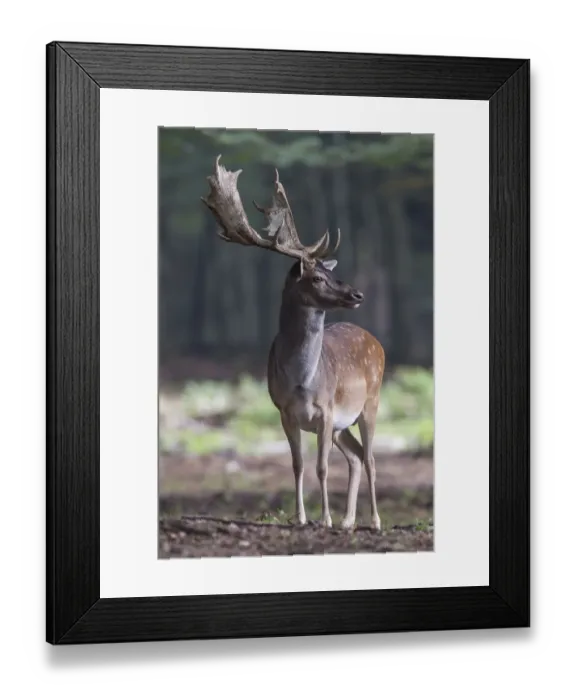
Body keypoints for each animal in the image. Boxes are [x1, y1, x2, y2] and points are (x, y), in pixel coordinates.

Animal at [201, 155, 385, 531]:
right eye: (316, 277)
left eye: (331, 273)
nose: (357, 294)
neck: (302, 381)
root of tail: (378, 343)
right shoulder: (285, 412)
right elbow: (298, 465)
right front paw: (302, 518)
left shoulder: (326, 410)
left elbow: (322, 467)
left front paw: (324, 519)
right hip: (345, 423)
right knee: (358, 457)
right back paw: (349, 521)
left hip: (370, 402)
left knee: (372, 458)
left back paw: (374, 521)